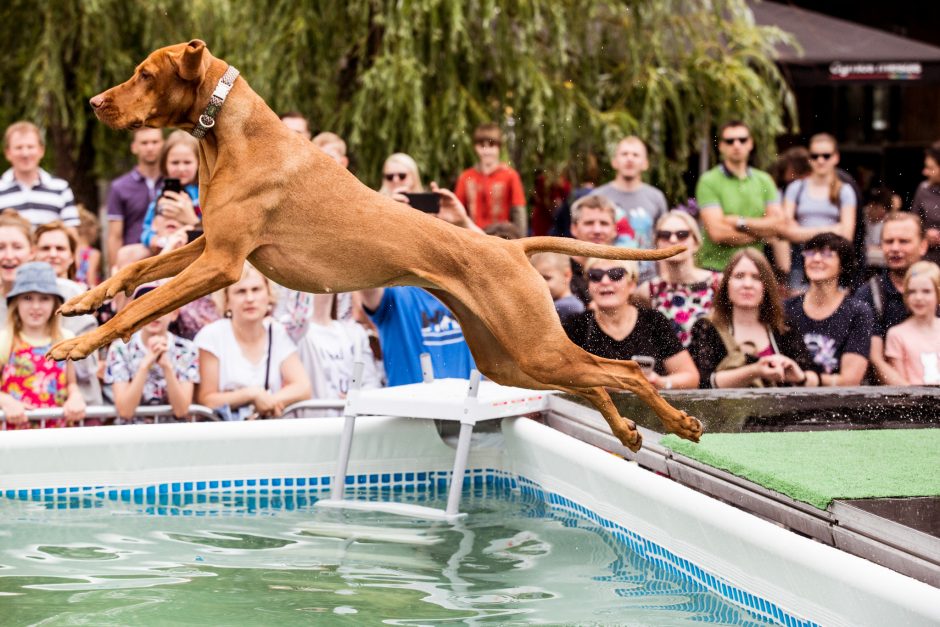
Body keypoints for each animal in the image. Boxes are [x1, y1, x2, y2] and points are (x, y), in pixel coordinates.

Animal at [47, 38, 700, 452]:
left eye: (145, 74)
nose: (94, 103)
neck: (231, 133)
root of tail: (510, 248)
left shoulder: (223, 263)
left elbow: (142, 303)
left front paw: (78, 344)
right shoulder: (209, 246)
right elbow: (138, 273)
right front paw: (83, 302)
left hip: (530, 346)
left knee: (624, 369)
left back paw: (679, 423)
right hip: (511, 358)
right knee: (593, 377)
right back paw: (628, 431)